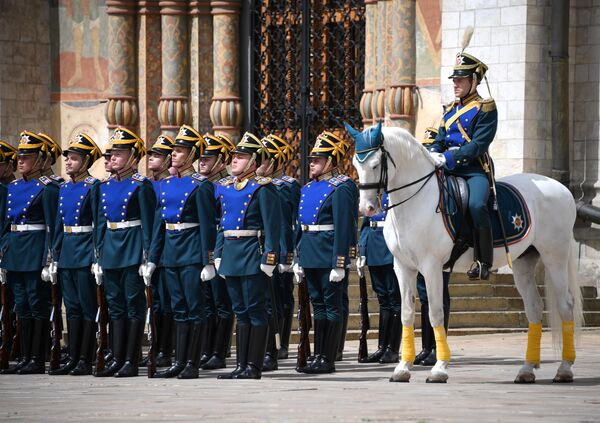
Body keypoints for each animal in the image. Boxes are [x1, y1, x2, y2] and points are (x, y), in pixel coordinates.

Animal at [350, 122, 584, 384]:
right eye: (355, 164)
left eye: (375, 164)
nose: (366, 208)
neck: (416, 201)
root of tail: (562, 187)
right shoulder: (403, 267)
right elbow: (407, 314)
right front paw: (402, 368)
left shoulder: (431, 267)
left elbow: (435, 313)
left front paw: (439, 368)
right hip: (524, 261)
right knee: (533, 308)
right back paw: (526, 369)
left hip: (555, 256)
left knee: (565, 305)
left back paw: (564, 368)